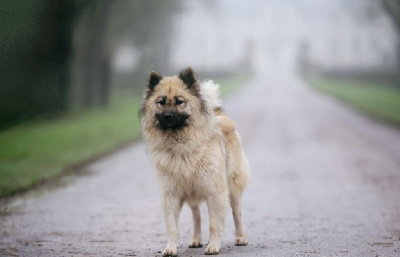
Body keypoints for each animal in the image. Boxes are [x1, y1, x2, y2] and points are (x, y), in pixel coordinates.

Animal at [139, 66, 248, 254]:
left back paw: (240, 238)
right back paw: (196, 239)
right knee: (196, 216)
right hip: (193, 192)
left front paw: (213, 246)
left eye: (179, 101)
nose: (167, 116)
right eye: (161, 102)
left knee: (237, 213)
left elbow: (214, 223)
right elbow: (172, 226)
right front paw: (170, 248)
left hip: (232, 188)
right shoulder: (171, 194)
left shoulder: (214, 191)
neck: (180, 145)